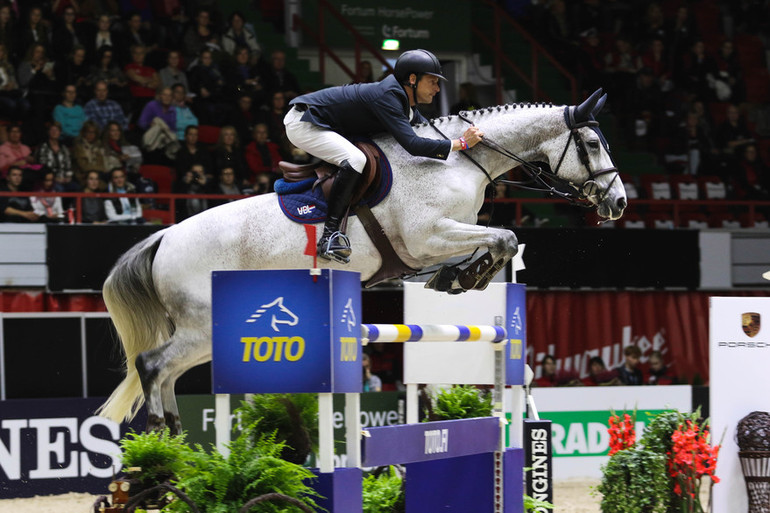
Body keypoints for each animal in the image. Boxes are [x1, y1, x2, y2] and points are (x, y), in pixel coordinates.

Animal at [96, 89, 624, 432]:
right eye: (591, 144)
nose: (618, 203)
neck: (456, 163)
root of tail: (163, 238)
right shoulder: (429, 236)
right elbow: (505, 237)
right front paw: (467, 276)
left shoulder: (439, 242)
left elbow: (495, 244)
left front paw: (459, 278)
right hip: (202, 328)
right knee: (150, 365)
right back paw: (160, 445)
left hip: (205, 335)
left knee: (166, 374)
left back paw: (174, 450)